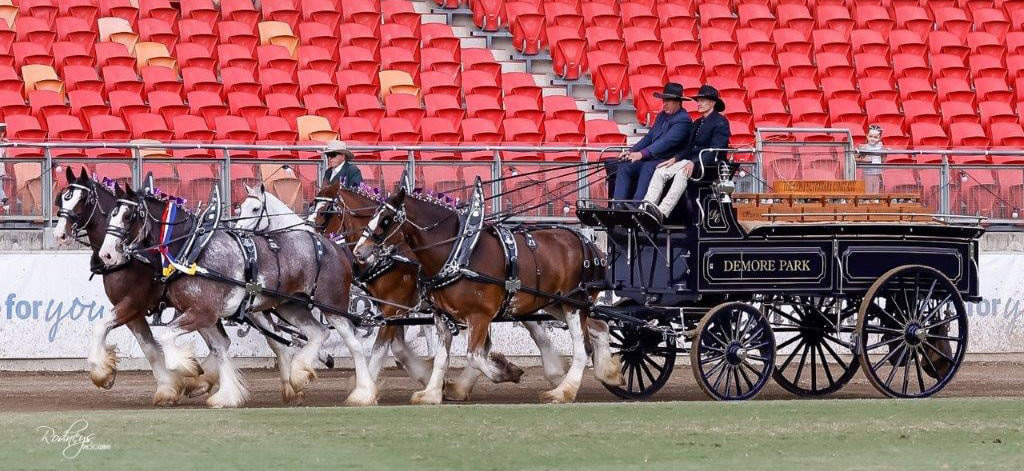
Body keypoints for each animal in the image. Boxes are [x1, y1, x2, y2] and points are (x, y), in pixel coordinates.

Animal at [352, 185, 622, 403]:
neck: (458, 253)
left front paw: (505, 371)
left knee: (582, 347)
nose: (358, 252)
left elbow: (474, 355)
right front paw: (431, 393)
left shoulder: (479, 316)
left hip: (574, 303)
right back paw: (608, 372)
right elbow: (442, 358)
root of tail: (589, 244)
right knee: (599, 328)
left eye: (385, 220)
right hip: (558, 303)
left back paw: (563, 391)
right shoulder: (441, 317)